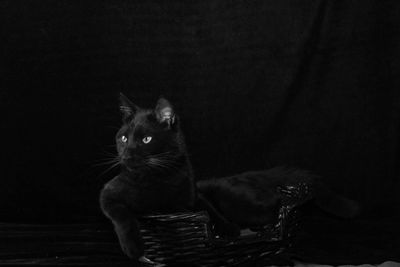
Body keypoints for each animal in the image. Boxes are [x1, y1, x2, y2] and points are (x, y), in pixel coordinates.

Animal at [98, 94, 195, 264]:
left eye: (146, 139)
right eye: (124, 138)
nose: (127, 155)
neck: (151, 179)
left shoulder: (184, 206)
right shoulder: (108, 193)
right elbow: (121, 214)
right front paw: (134, 249)